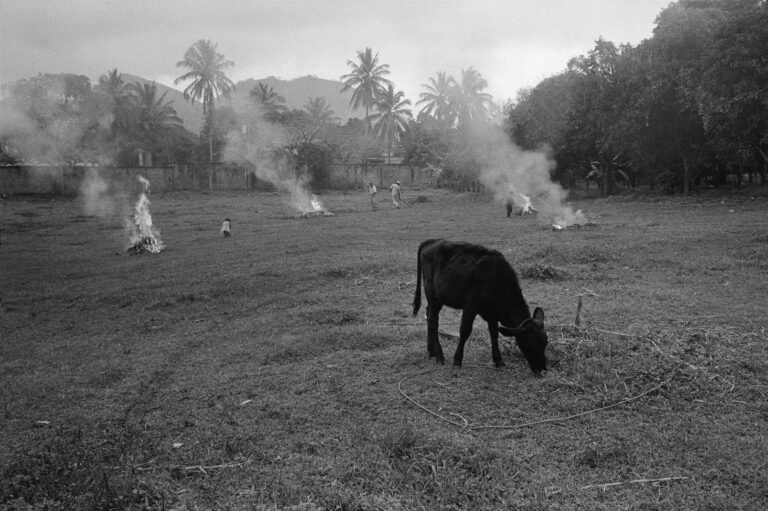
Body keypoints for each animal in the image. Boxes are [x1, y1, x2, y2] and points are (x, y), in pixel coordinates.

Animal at [414, 238, 544, 374]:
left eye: (545, 342)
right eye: (527, 344)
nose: (542, 370)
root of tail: (434, 241)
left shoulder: (492, 313)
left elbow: (494, 334)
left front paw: (499, 361)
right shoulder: (470, 306)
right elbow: (465, 331)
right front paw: (457, 360)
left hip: (437, 299)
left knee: (428, 314)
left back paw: (431, 351)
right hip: (432, 295)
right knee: (433, 321)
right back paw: (439, 356)